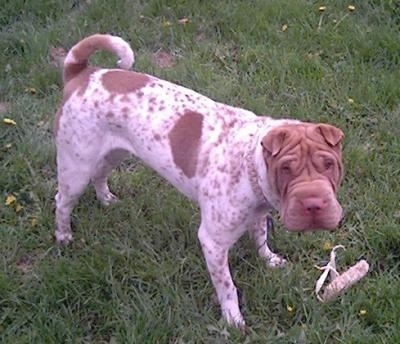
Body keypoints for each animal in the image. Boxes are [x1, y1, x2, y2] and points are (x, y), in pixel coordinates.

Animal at [54, 34, 346, 328]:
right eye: (286, 168)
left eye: (329, 164)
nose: (314, 204)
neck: (249, 163)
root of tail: (82, 73)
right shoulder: (213, 243)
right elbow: (228, 287)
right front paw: (233, 320)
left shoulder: (257, 213)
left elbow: (261, 237)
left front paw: (270, 260)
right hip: (76, 167)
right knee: (62, 201)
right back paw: (64, 236)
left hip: (114, 153)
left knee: (100, 175)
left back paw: (106, 200)